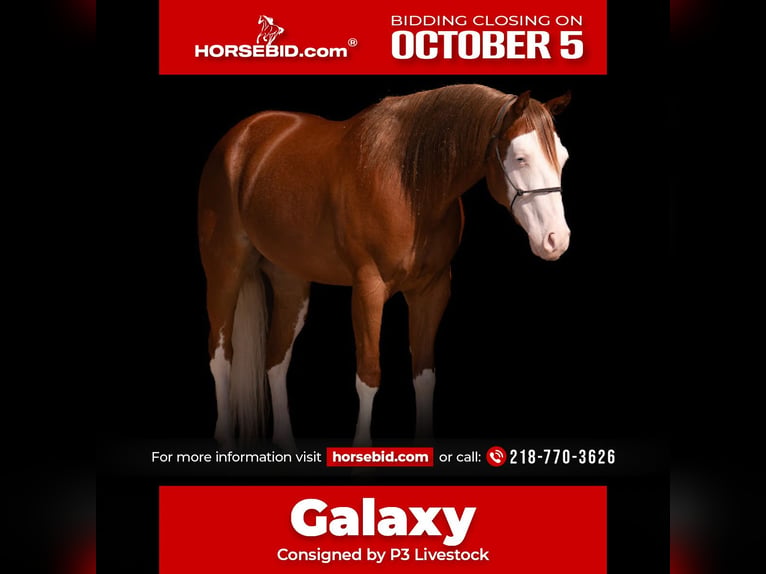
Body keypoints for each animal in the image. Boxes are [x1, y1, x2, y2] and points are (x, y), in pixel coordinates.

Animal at [198, 84, 572, 450]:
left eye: (564, 157)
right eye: (520, 157)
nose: (556, 240)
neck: (409, 185)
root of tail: (242, 136)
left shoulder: (431, 290)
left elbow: (424, 376)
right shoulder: (368, 289)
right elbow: (369, 376)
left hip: (290, 281)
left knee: (276, 359)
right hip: (224, 270)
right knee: (221, 355)